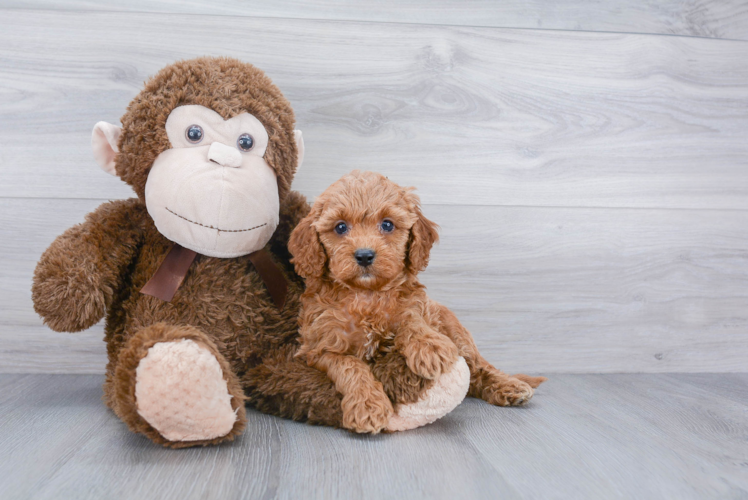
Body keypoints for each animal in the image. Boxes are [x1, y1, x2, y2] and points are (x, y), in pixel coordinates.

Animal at [290, 172, 548, 434]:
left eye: (387, 224)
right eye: (340, 227)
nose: (364, 255)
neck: (367, 294)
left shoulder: (413, 306)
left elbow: (411, 320)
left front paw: (429, 347)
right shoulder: (319, 348)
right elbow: (350, 366)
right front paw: (368, 406)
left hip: (457, 333)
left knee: (479, 368)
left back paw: (510, 386)